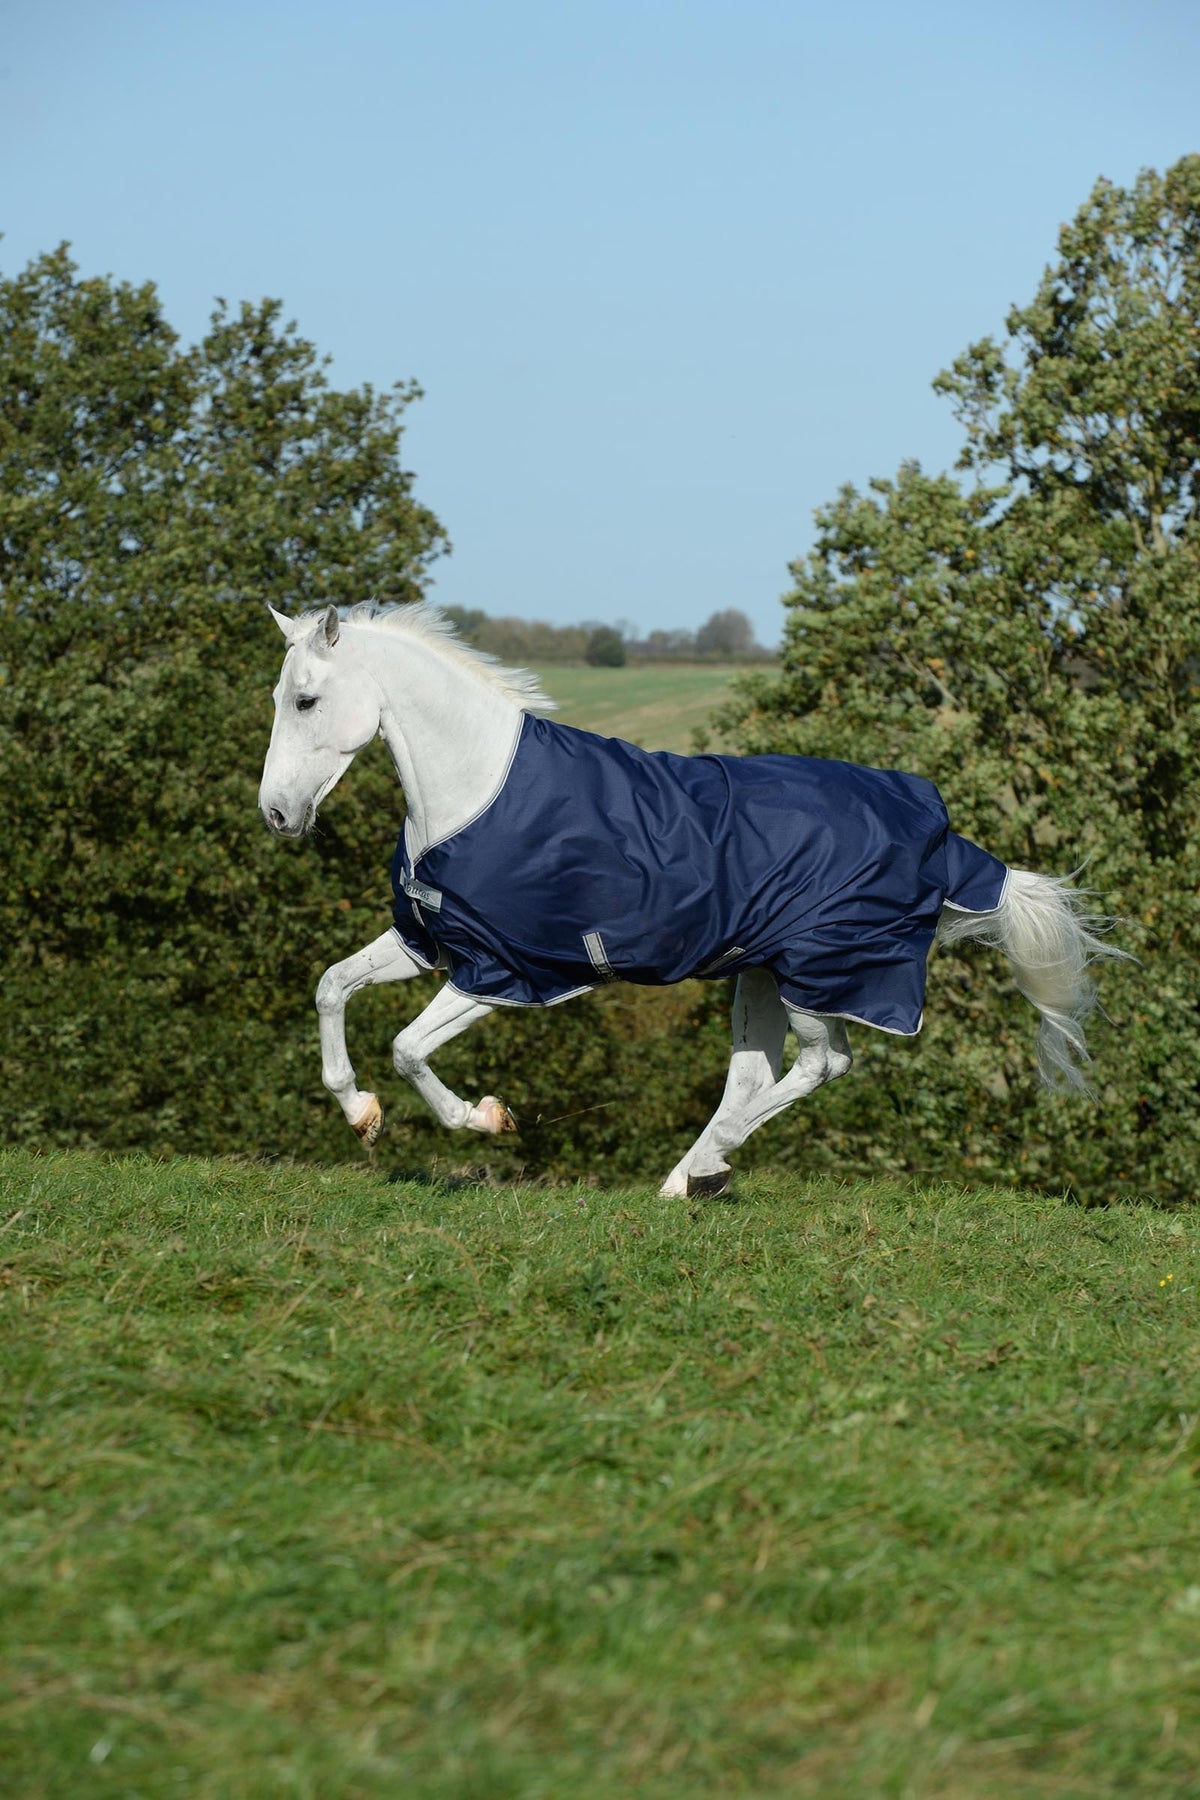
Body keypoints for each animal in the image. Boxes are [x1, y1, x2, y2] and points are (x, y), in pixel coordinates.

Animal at [258, 601, 1117, 1196]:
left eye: (304, 701)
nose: (277, 815)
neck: (476, 792)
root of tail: (943, 836)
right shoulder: (431, 942)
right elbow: (331, 986)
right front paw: (360, 1113)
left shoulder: (505, 973)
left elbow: (408, 1047)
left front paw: (484, 1117)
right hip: (762, 974)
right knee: (758, 1073)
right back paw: (690, 1176)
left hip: (817, 974)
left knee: (823, 1065)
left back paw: (708, 1164)